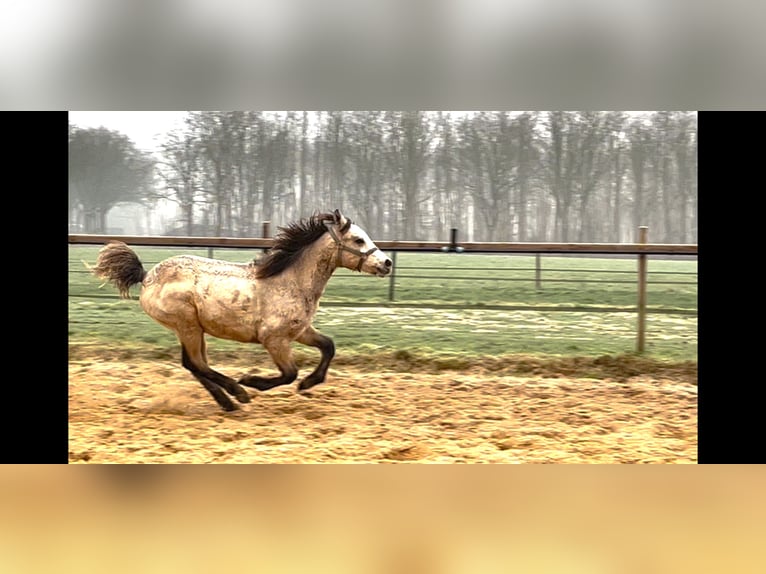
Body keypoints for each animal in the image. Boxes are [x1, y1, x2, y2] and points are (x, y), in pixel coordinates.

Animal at [92, 209, 392, 412]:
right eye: (358, 240)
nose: (387, 263)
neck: (290, 281)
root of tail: (146, 277)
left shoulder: (300, 331)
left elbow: (328, 346)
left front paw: (308, 384)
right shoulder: (274, 339)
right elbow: (289, 373)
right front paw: (252, 381)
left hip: (193, 329)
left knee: (193, 364)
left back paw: (228, 402)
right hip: (187, 325)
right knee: (197, 363)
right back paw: (238, 393)